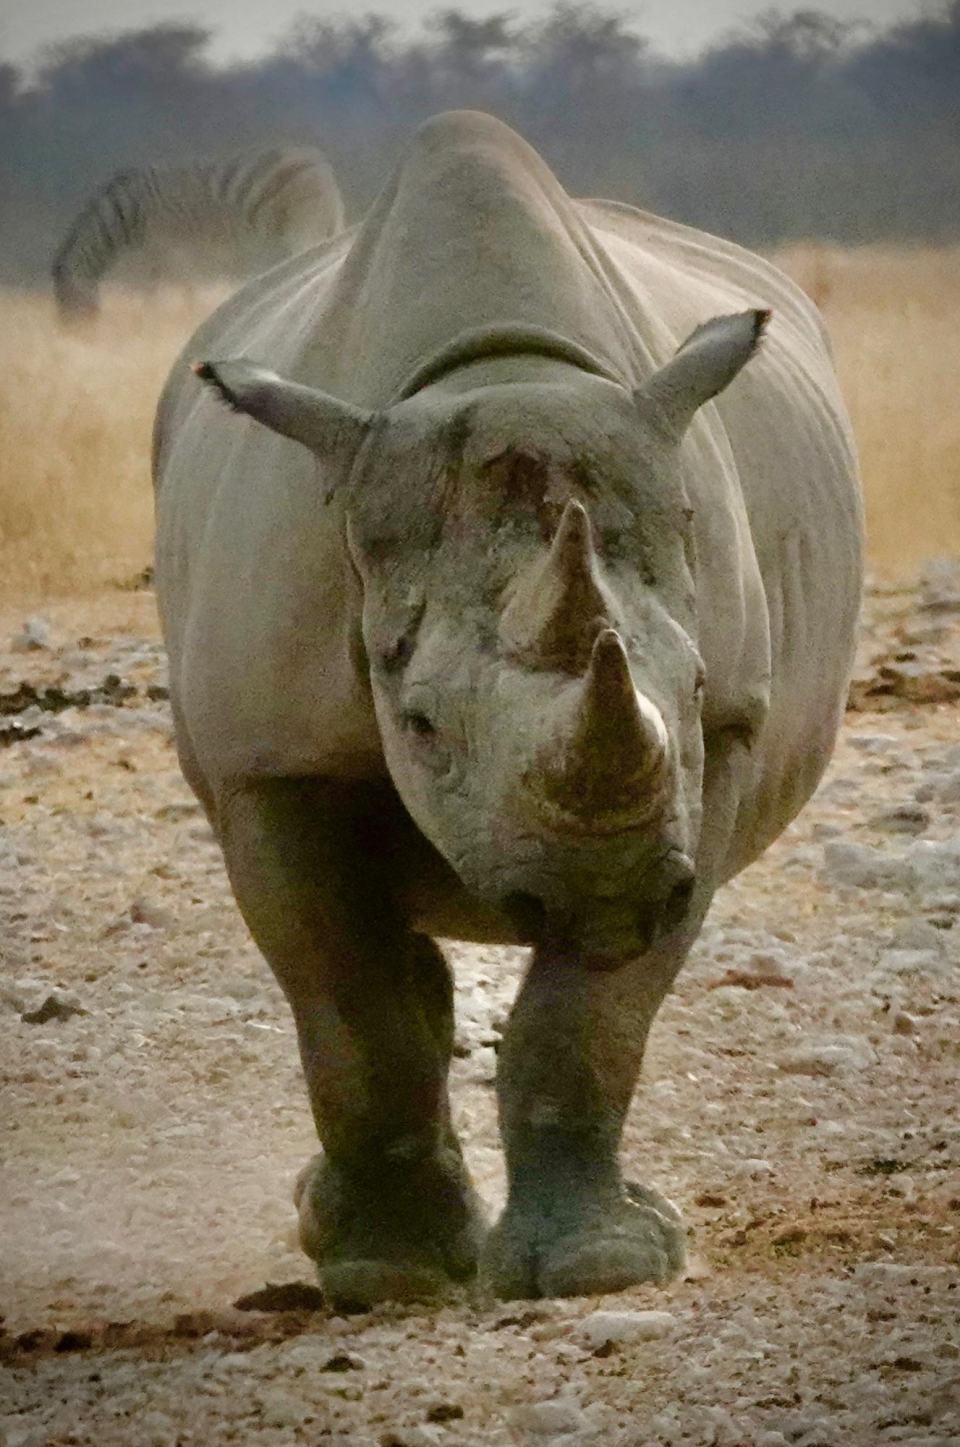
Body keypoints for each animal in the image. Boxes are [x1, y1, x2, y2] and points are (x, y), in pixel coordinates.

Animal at [153, 111, 862, 1306]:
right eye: (421, 724)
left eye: (697, 686)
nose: (605, 888)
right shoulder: (271, 759)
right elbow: (350, 1007)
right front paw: (389, 1274)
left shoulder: (718, 748)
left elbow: (592, 1018)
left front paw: (598, 1266)